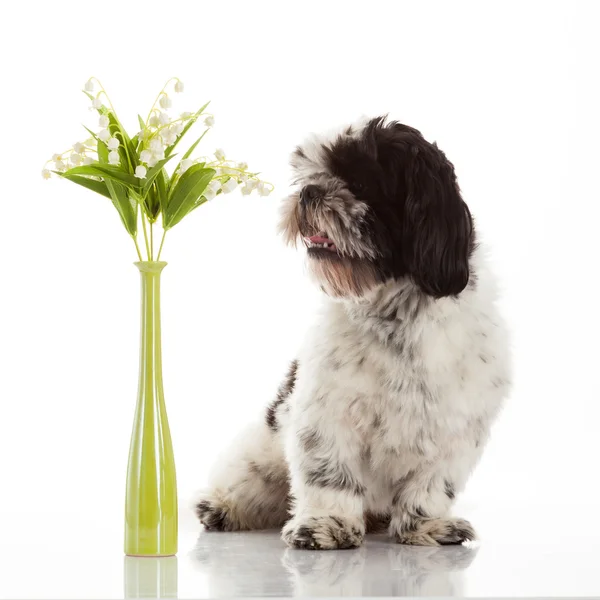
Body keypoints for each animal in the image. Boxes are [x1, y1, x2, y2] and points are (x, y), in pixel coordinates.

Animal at [195, 116, 508, 548]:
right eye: (309, 175)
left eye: (358, 183)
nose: (308, 191)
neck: (394, 314)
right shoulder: (326, 414)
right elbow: (329, 474)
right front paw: (326, 523)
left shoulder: (455, 428)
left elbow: (430, 486)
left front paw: (425, 526)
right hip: (260, 451)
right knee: (251, 482)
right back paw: (222, 506)